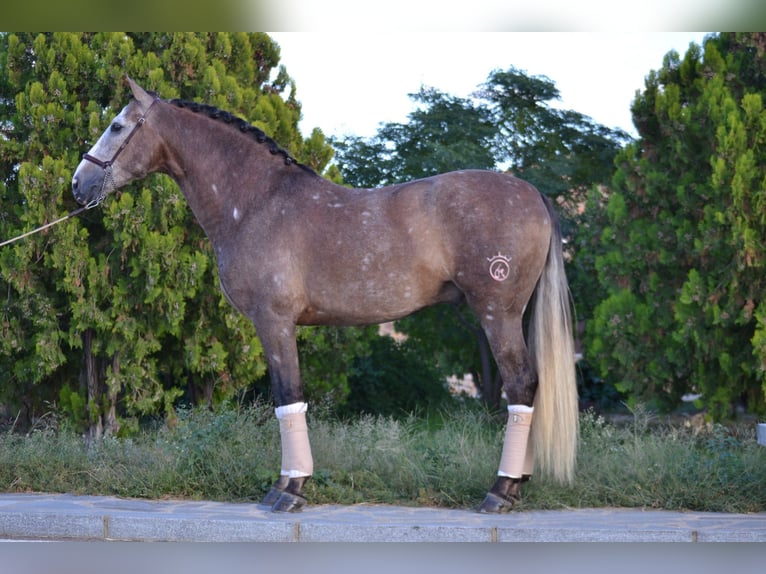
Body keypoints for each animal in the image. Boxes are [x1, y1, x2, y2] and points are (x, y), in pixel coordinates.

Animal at [72, 77, 578, 513]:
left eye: (117, 126)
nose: (78, 184)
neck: (257, 201)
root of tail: (533, 193)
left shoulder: (274, 322)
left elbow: (287, 397)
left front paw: (289, 489)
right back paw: (516, 484)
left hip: (498, 313)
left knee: (520, 385)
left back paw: (500, 491)